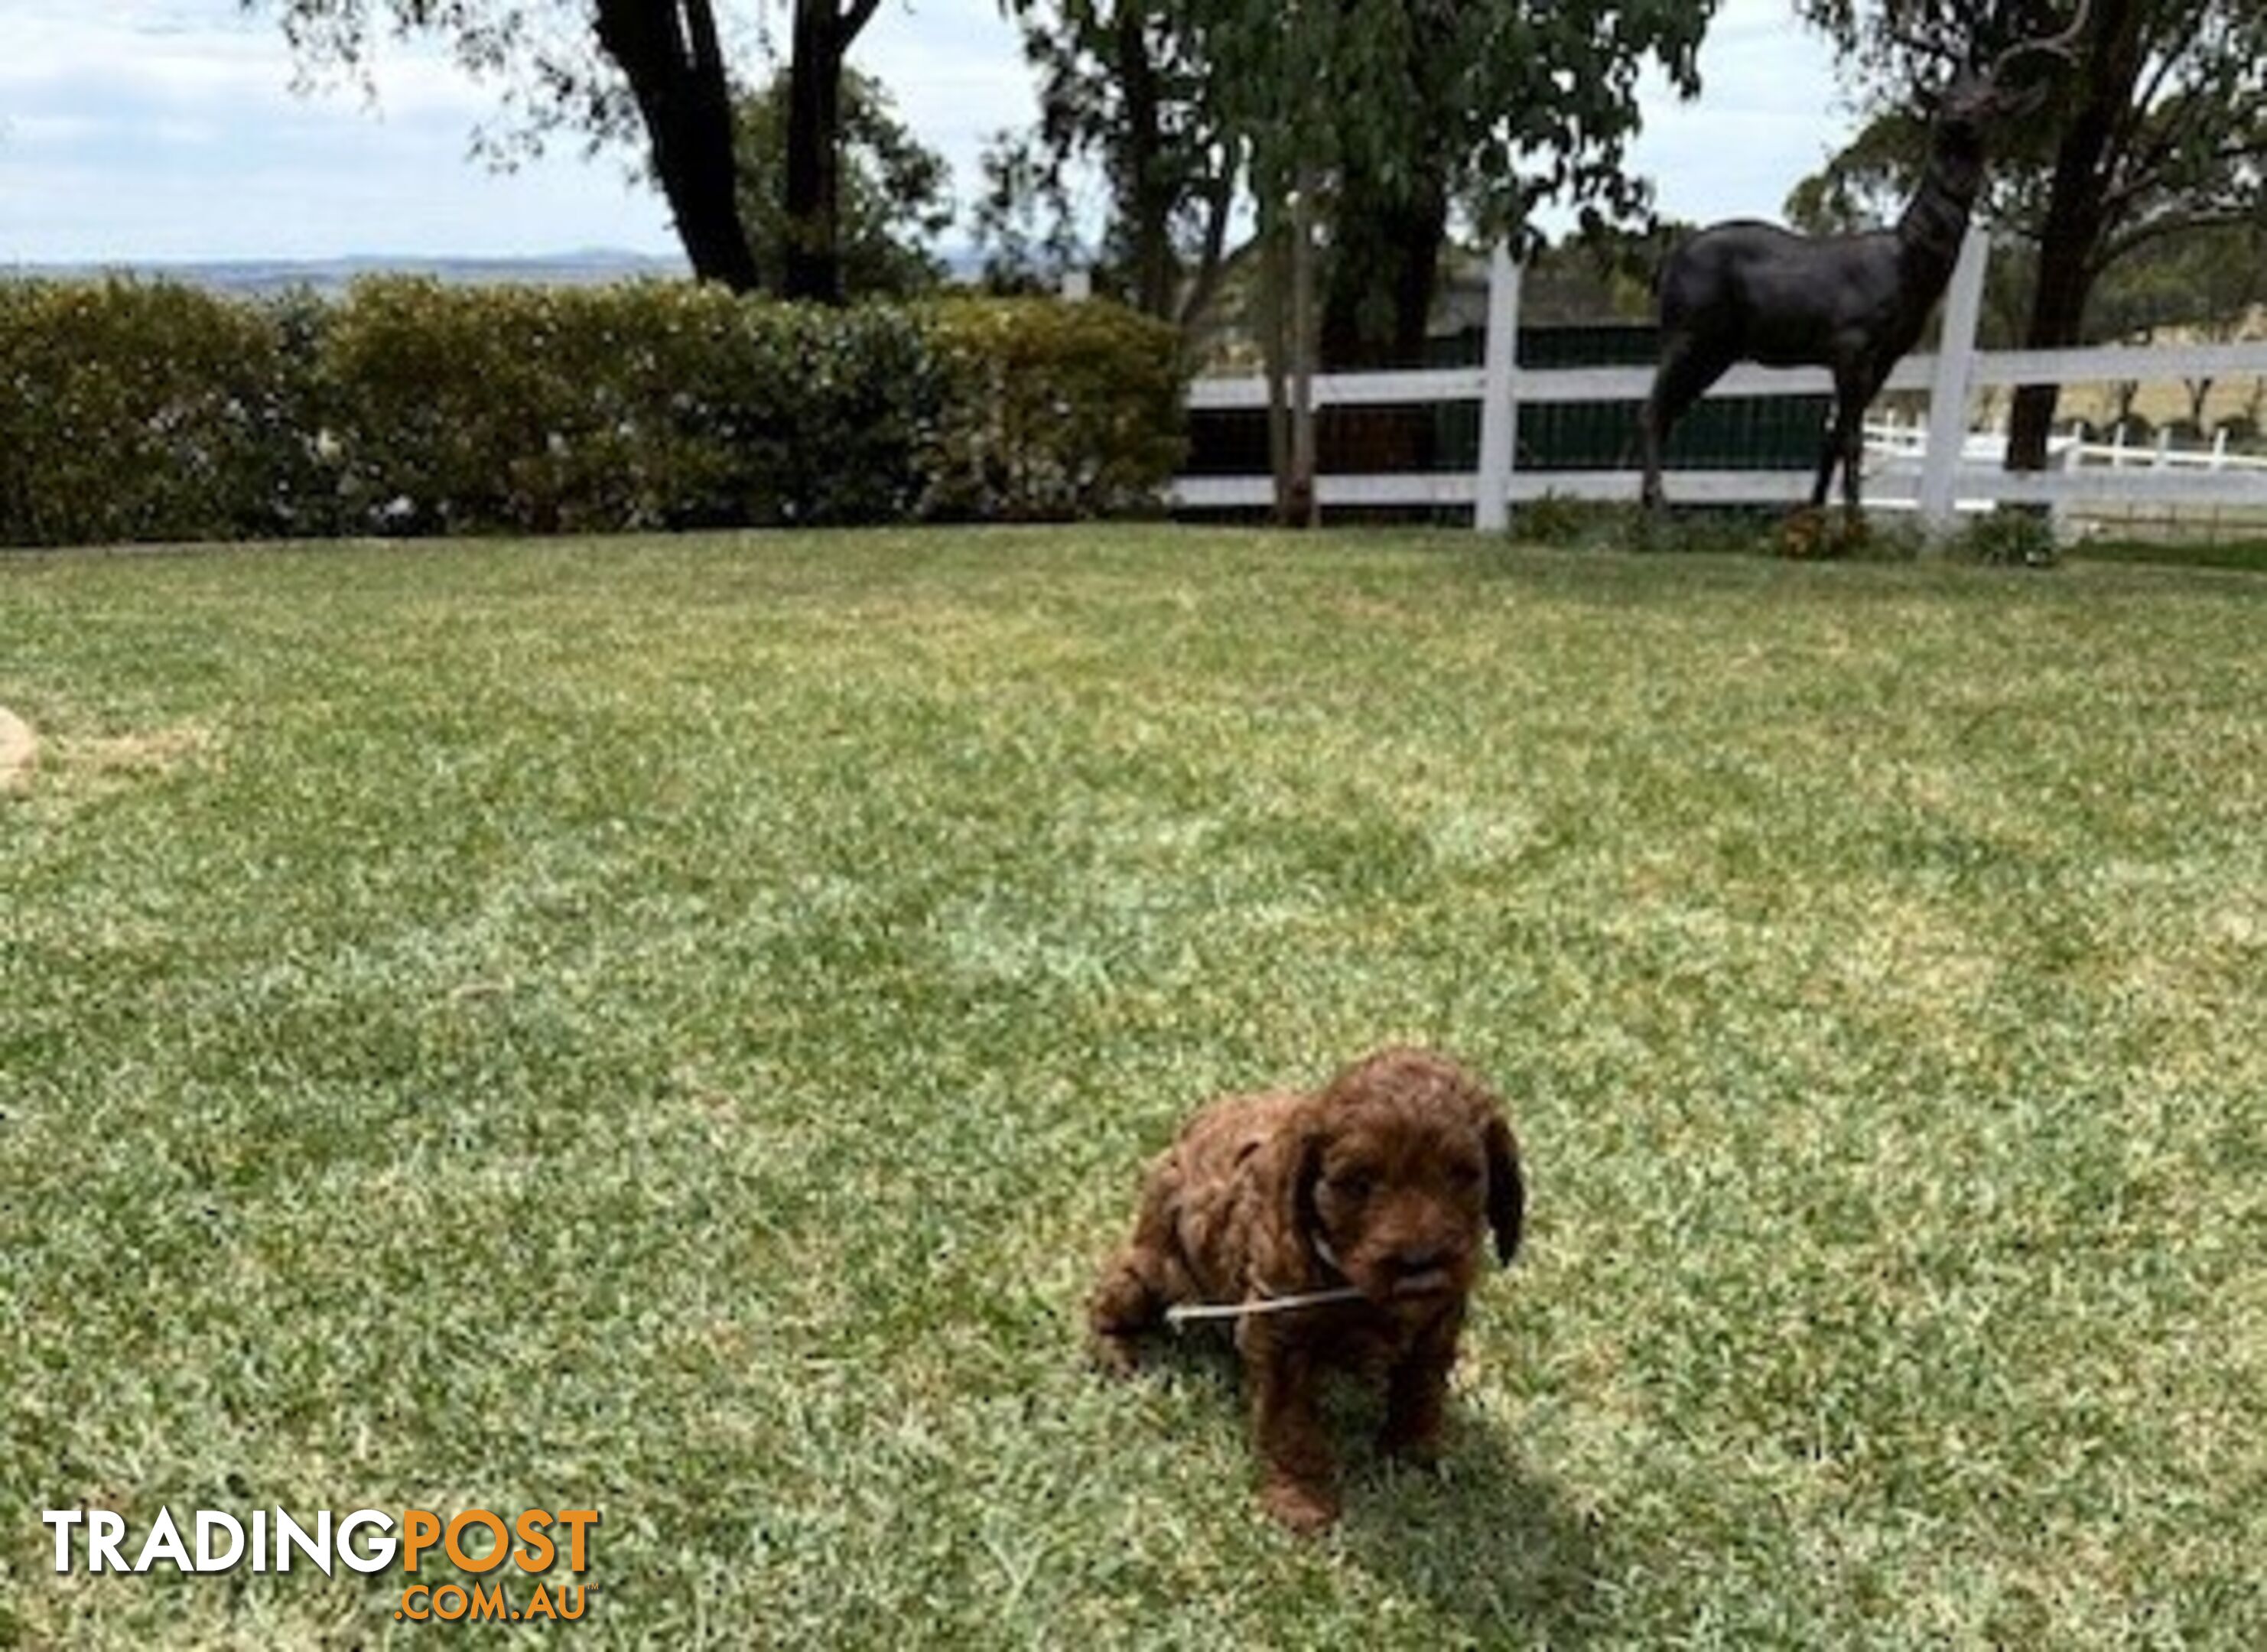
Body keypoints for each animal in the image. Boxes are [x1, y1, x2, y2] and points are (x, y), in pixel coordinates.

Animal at [1083, 1042, 1523, 1531]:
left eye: (1464, 1175)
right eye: (1358, 1182)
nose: (1420, 1267)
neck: (1352, 1285)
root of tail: (1189, 1130)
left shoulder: (1439, 1318)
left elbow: (1421, 1385)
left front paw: (1414, 1454)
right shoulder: (1278, 1332)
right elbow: (1290, 1424)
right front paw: (1301, 1500)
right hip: (1156, 1265)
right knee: (1112, 1295)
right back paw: (1113, 1352)